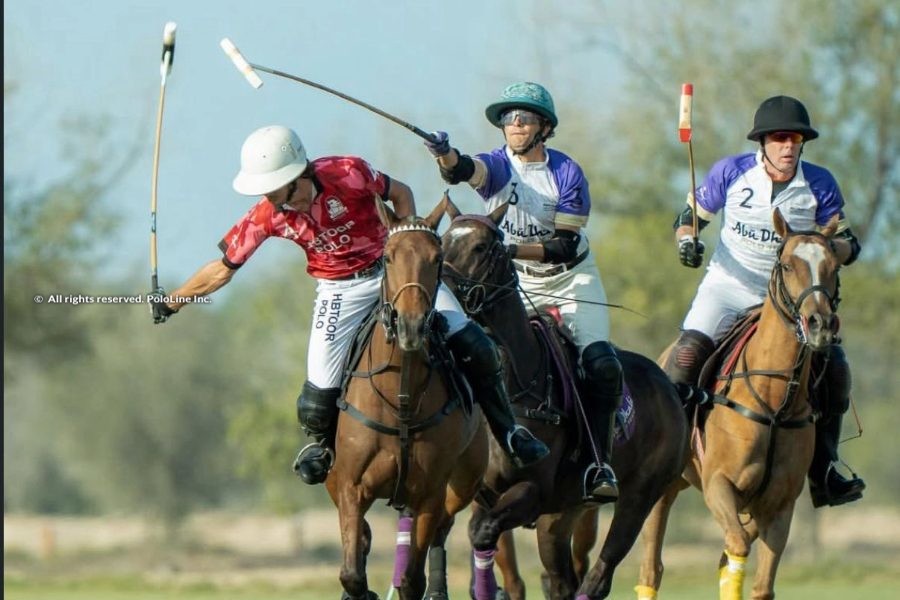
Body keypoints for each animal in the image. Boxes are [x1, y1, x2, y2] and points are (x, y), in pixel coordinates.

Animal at [324, 199, 488, 600]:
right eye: (387, 257)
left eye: (437, 258)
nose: (410, 326)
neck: (401, 400)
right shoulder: (350, 487)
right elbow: (352, 573)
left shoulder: (429, 494)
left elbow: (412, 580)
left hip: (462, 484)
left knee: (442, 531)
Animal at [429, 195, 688, 600]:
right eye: (441, 243)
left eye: (483, 247)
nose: (441, 300)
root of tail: (670, 387)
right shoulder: (484, 492)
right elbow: (470, 534)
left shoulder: (533, 492)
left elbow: (482, 531)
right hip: (563, 514)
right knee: (561, 580)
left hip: (639, 495)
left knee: (597, 577)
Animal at [635, 209, 842, 600]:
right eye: (788, 265)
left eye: (834, 266)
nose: (820, 325)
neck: (775, 403)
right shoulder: (719, 483)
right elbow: (738, 546)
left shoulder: (779, 506)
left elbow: (759, 585)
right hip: (663, 490)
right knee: (651, 570)